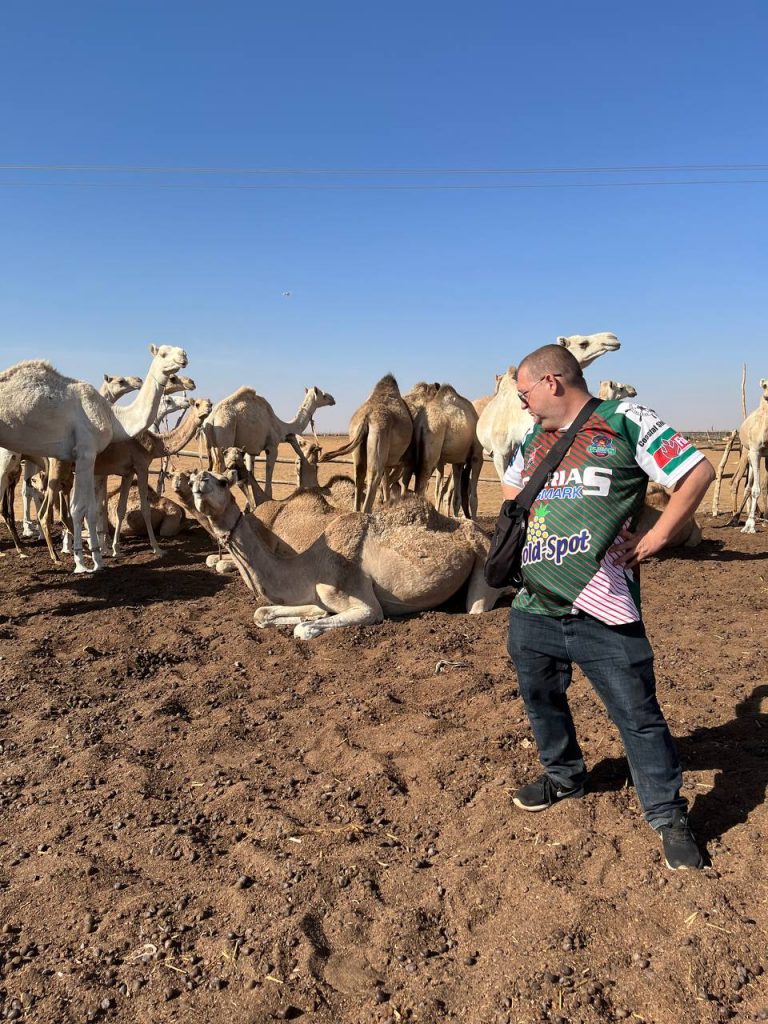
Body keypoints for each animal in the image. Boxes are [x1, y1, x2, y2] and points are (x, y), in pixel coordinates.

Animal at [0, 342, 189, 569]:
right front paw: (82, 562)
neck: (114, 418)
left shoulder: (94, 465)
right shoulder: (86, 453)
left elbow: (92, 508)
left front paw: (98, 557)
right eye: (163, 353)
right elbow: (80, 508)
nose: (183, 356)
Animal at [185, 468, 512, 638]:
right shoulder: (314, 595)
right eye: (192, 480)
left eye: (222, 481)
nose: (198, 479)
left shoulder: (364, 605)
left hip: (484, 564)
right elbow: (262, 613)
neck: (307, 566)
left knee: (480, 605)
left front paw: (309, 624)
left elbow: (304, 629)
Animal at [319, 372, 415, 512]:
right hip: (379, 436)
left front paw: (385, 501)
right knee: (374, 476)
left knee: (359, 475)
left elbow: (386, 480)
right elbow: (391, 479)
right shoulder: (401, 460)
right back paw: (367, 511)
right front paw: (387, 501)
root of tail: (366, 417)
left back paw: (357, 510)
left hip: (356, 439)